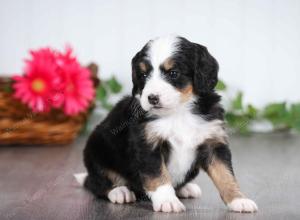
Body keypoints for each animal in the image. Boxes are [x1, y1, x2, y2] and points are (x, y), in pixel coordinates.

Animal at [75, 35, 258, 213]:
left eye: (173, 73)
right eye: (143, 75)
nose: (152, 98)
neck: (179, 112)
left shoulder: (213, 142)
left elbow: (225, 174)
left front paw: (239, 200)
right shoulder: (148, 144)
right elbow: (159, 176)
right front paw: (167, 202)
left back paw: (186, 188)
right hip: (96, 149)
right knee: (96, 183)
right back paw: (119, 191)